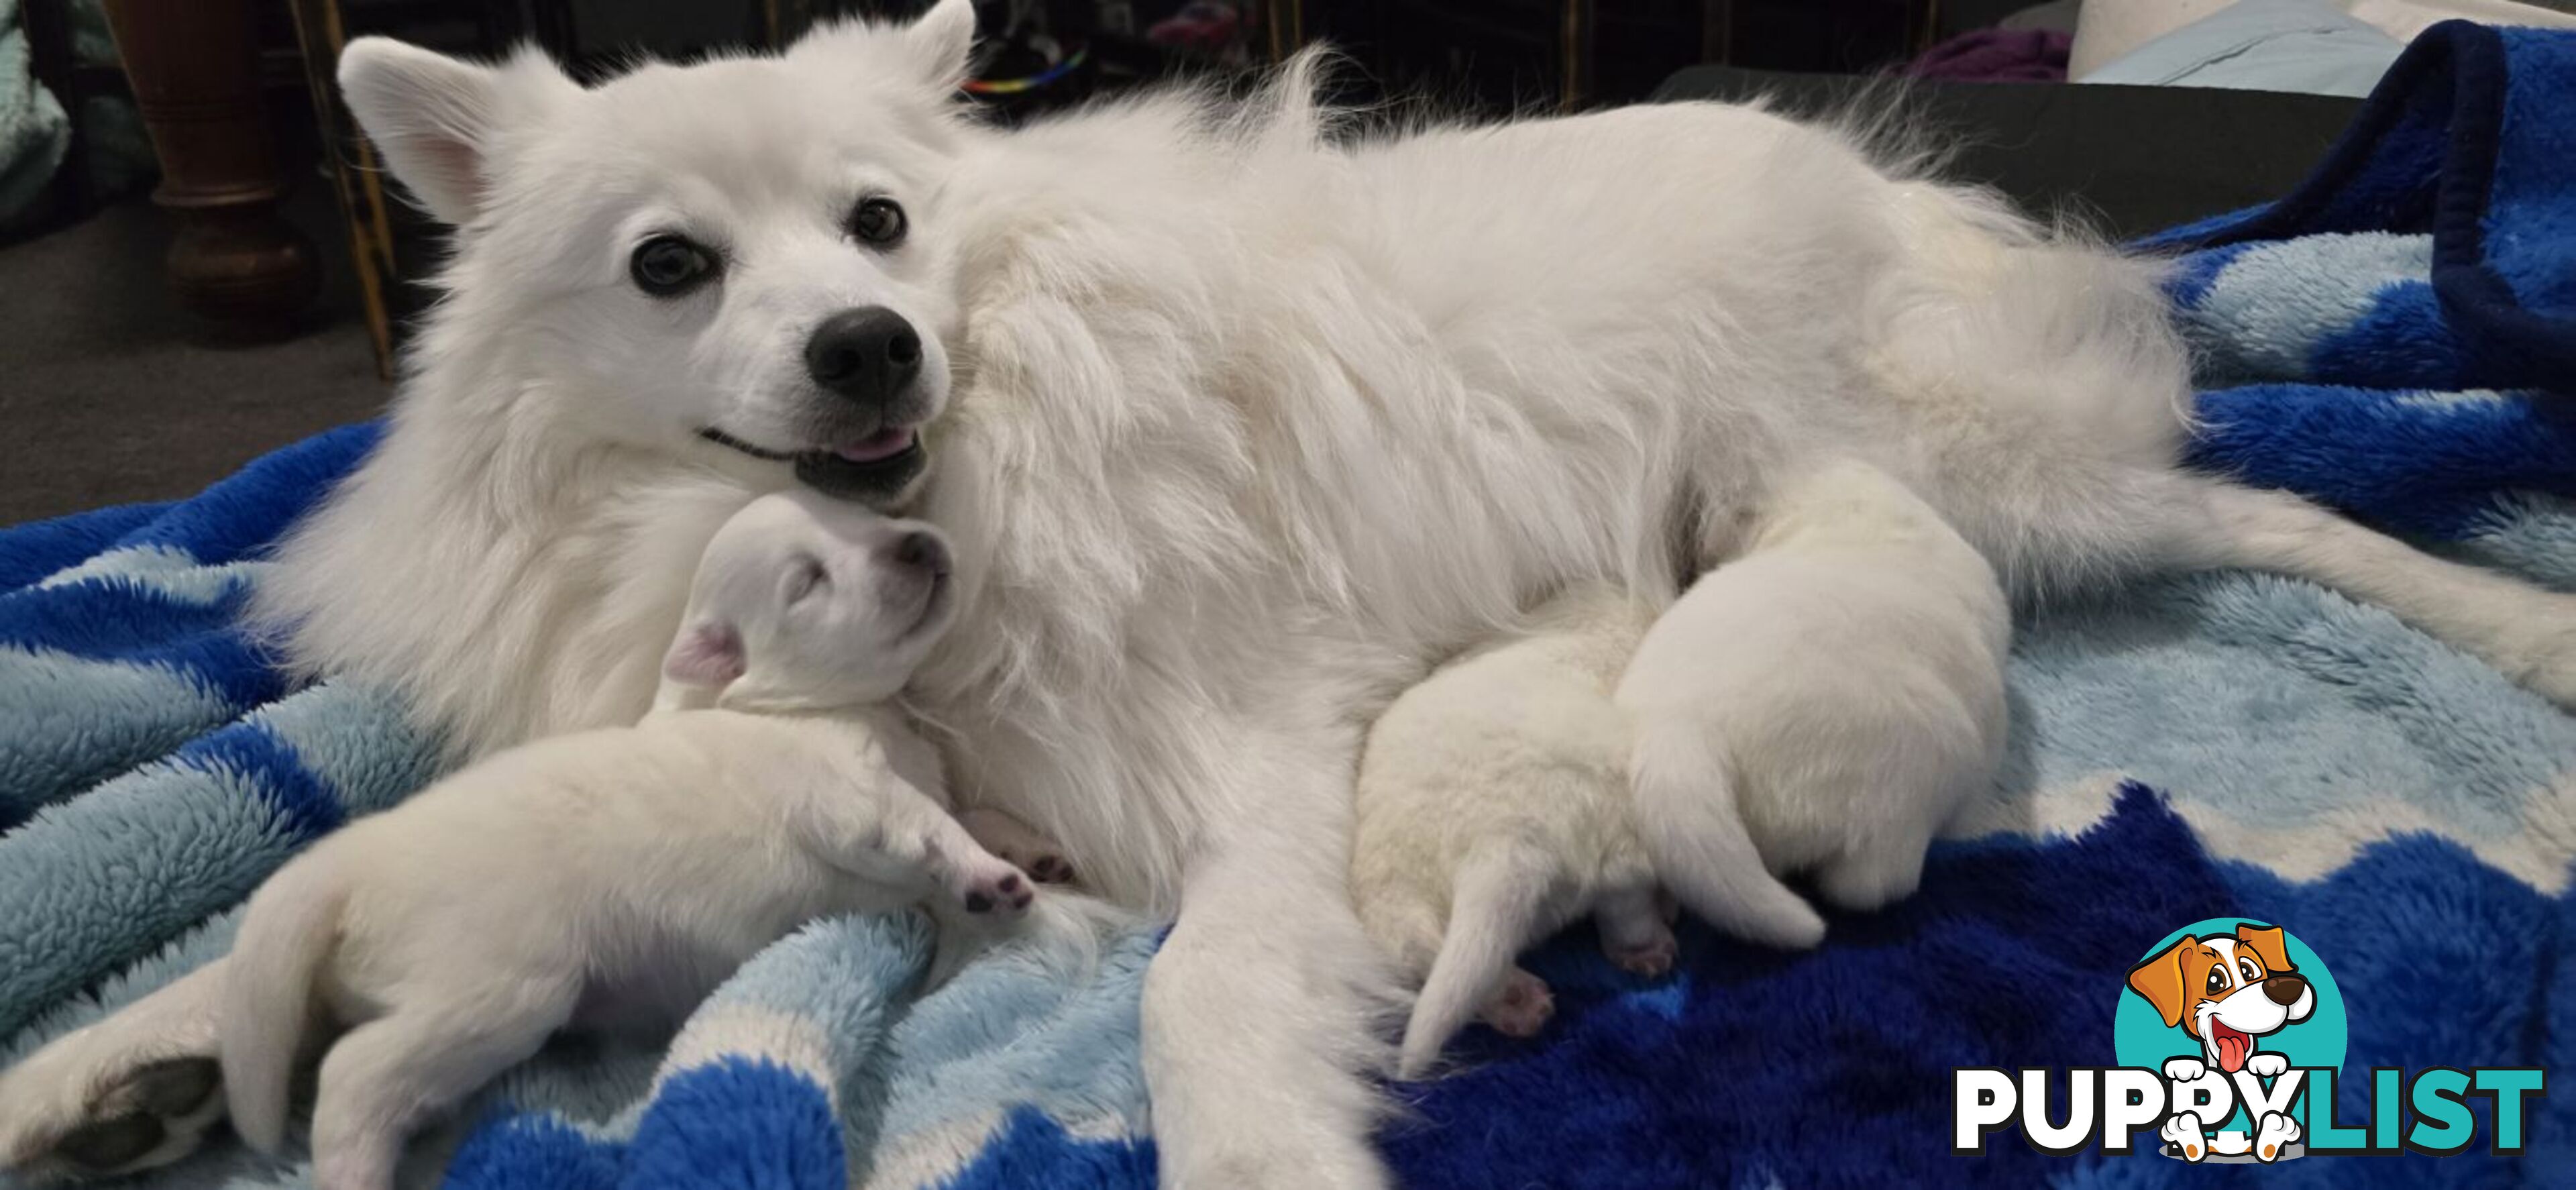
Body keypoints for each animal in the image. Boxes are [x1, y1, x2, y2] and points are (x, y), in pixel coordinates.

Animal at [213, 489, 1035, 1190]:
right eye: (807, 581)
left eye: (865, 514)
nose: (919, 542)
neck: (787, 702)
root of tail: (341, 863)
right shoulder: (845, 793)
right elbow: (925, 822)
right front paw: (989, 875)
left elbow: (966, 809)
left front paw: (1027, 842)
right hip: (498, 984)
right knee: (353, 1075)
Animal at [1360, 584, 1823, 1077]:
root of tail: (1498, 839)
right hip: (1617, 813)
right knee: (1628, 903)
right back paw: (1644, 943)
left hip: (1398, 910)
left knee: (1440, 960)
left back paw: (1517, 1002)